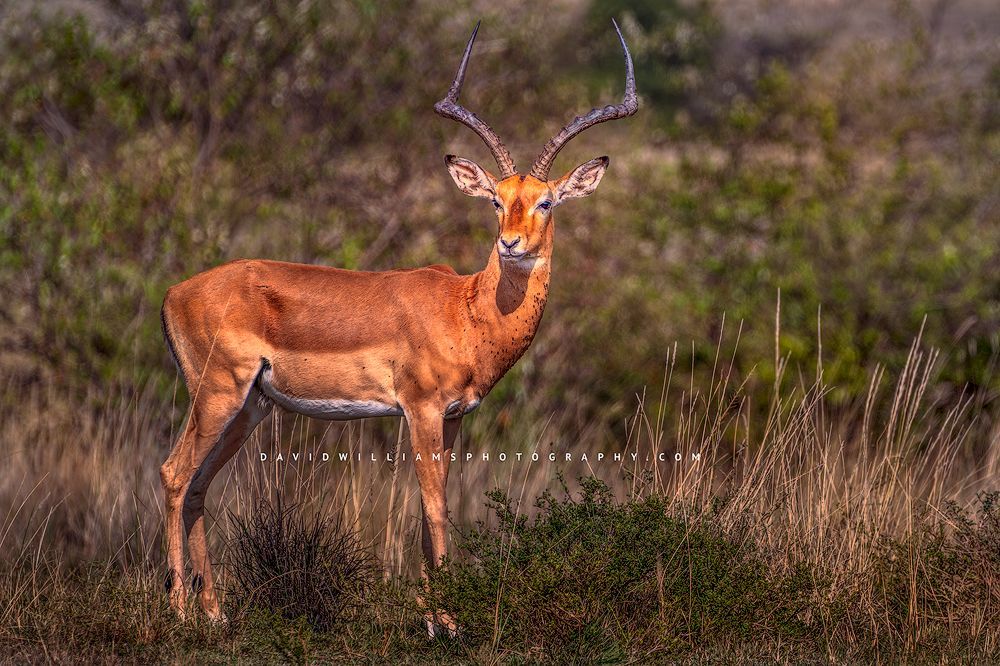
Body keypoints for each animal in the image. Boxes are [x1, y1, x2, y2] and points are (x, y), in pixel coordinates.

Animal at [159, 20, 637, 633]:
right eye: (496, 200)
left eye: (547, 202)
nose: (511, 243)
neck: (467, 309)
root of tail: (174, 293)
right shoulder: (421, 409)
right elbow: (434, 506)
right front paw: (448, 620)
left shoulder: (454, 417)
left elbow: (435, 504)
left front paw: (434, 615)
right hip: (218, 394)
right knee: (174, 474)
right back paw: (178, 609)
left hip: (249, 407)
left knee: (198, 485)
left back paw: (215, 611)